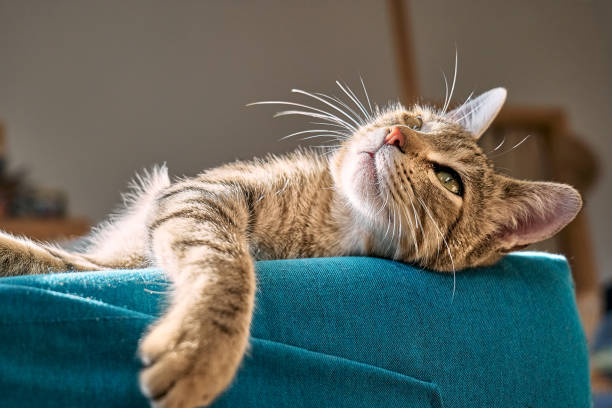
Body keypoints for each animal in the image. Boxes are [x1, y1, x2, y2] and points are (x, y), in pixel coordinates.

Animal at [0, 84, 580, 406]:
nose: (394, 135)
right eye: (414, 120)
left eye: (449, 180)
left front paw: (199, 348)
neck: (331, 222)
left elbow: (225, 266)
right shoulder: (199, 195)